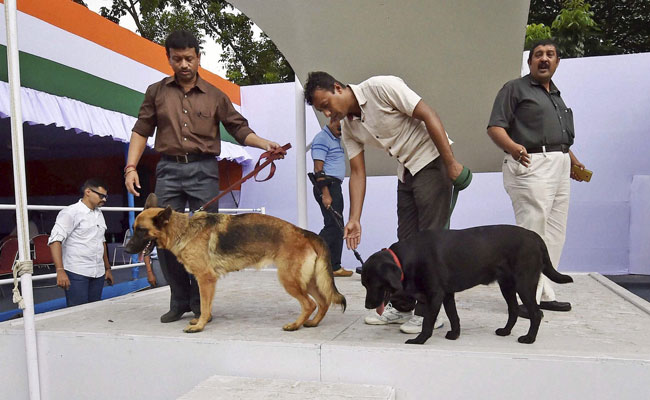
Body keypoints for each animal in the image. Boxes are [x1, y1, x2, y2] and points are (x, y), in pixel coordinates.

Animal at [125, 195, 344, 332]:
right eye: (134, 228)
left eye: (141, 231)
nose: (126, 249)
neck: (185, 229)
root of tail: (304, 232)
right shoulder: (206, 282)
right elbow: (206, 305)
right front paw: (203, 321)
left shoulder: (205, 279)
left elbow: (204, 305)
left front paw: (199, 326)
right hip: (308, 280)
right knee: (323, 302)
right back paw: (312, 323)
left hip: (289, 279)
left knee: (309, 304)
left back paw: (295, 325)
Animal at [360, 225, 572, 344]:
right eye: (364, 284)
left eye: (373, 283)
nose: (367, 305)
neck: (408, 258)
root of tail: (535, 236)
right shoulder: (447, 295)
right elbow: (454, 317)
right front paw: (455, 334)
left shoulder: (435, 295)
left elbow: (427, 322)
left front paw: (419, 340)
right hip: (507, 285)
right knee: (513, 310)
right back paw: (505, 332)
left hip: (524, 284)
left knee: (536, 313)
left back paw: (529, 339)